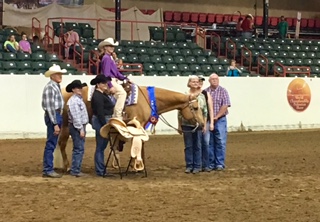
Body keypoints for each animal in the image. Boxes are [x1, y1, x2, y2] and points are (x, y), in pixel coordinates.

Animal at [55, 84, 205, 171]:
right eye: (196, 107)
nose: (203, 124)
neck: (148, 99)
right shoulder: (137, 125)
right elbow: (137, 143)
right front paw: (136, 166)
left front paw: (137, 164)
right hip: (66, 126)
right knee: (62, 144)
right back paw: (67, 167)